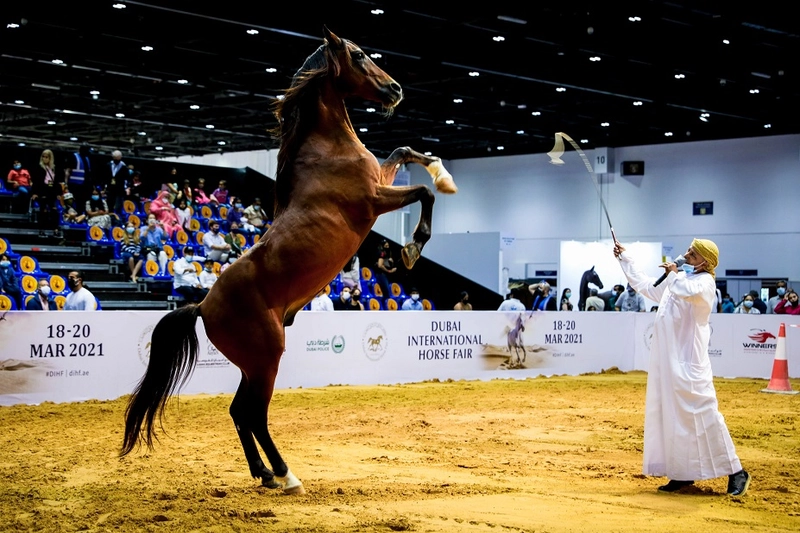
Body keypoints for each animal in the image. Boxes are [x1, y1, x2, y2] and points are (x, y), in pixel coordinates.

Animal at [120, 28, 457, 495]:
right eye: (358, 55)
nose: (395, 90)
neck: (326, 151)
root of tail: (202, 304)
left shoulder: (381, 178)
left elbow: (405, 151)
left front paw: (443, 173)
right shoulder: (373, 199)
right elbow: (423, 194)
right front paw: (412, 247)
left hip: (251, 364)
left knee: (238, 412)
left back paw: (264, 474)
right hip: (267, 358)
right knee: (253, 414)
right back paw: (286, 475)